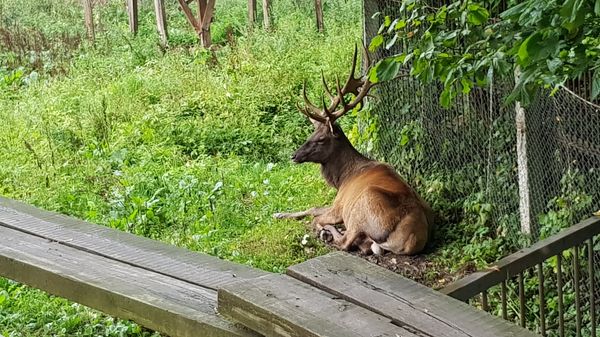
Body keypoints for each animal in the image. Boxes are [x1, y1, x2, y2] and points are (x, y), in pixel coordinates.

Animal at [274, 45, 434, 255]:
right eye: (312, 133)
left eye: (321, 139)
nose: (294, 155)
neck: (341, 178)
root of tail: (409, 241)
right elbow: (313, 207)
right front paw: (279, 213)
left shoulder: (339, 203)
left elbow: (315, 213)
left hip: (362, 206)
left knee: (345, 241)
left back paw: (327, 232)